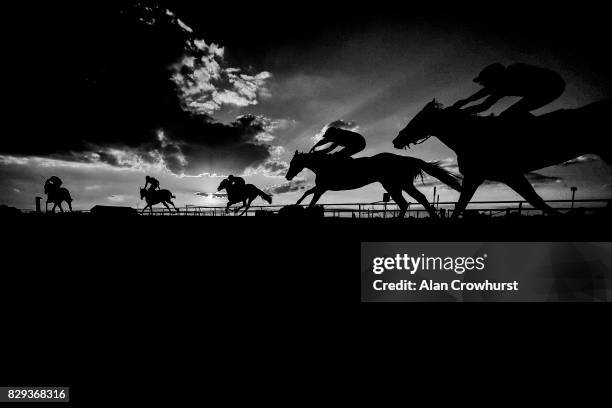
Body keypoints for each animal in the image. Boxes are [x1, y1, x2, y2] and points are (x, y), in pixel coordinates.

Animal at [284, 151, 462, 220]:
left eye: (293, 163)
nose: (287, 176)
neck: (323, 165)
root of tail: (407, 159)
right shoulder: (322, 187)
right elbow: (307, 193)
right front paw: (296, 204)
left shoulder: (322, 188)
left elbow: (312, 199)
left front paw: (302, 210)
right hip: (398, 185)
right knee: (414, 200)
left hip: (395, 185)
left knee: (409, 202)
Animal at [394, 99, 608, 217]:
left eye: (418, 119)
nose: (397, 140)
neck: (470, 137)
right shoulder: (478, 177)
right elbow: (461, 204)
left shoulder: (509, 175)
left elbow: (536, 200)